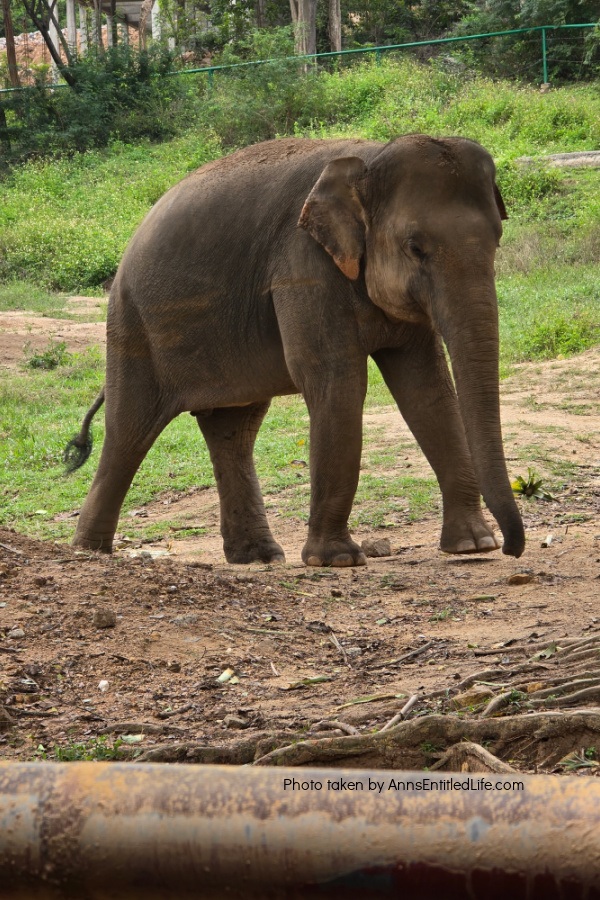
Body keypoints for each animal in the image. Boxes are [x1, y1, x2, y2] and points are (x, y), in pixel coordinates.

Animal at [65, 134, 525, 567]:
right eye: (415, 247)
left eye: (498, 240)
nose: (512, 549)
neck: (370, 159)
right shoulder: (302, 267)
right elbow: (338, 382)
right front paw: (337, 560)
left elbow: (427, 389)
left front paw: (472, 545)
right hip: (132, 324)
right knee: (129, 433)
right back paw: (90, 552)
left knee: (233, 429)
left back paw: (258, 557)